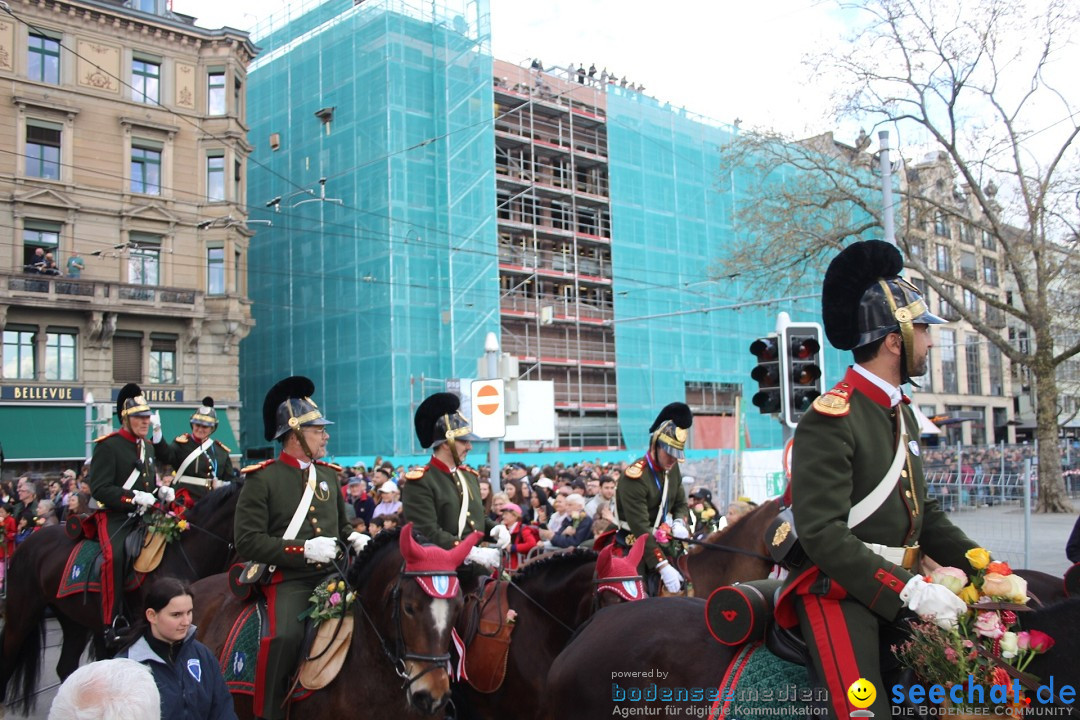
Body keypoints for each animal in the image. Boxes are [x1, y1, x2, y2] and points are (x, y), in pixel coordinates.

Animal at [0, 483, 240, 716]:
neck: (184, 553)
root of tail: (30, 540)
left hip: (75, 622)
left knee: (66, 666)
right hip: (21, 616)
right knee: (8, 658)